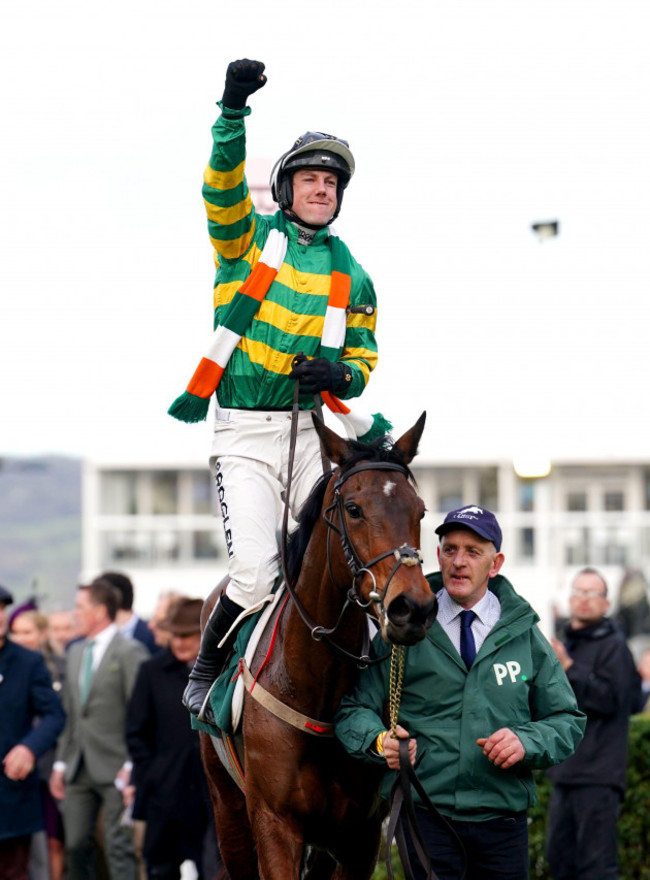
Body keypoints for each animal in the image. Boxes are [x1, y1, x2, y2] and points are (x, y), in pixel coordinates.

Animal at [197, 414, 436, 880]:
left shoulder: (360, 837)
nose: (413, 608)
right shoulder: (273, 824)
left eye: (420, 510)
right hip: (226, 807)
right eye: (354, 509)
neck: (314, 688)